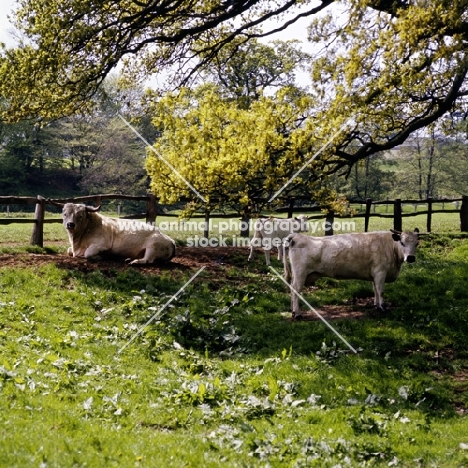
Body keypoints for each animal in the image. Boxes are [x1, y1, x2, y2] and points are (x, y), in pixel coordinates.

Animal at [284, 229, 422, 318]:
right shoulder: (380, 272)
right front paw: (382, 307)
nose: (410, 258)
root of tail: (296, 236)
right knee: (296, 289)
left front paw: (376, 305)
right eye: (402, 243)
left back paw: (292, 310)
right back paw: (297, 313)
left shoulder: (374, 274)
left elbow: (375, 290)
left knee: (291, 288)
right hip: (300, 273)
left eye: (416, 243)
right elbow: (381, 291)